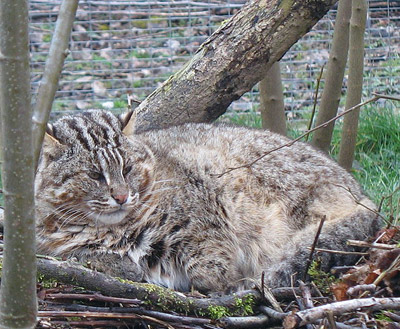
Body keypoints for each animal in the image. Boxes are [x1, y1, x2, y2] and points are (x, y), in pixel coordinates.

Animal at [32, 109, 380, 292]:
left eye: (127, 168)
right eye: (94, 174)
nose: (121, 196)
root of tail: (362, 194)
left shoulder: (204, 213)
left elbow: (210, 259)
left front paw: (216, 286)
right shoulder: (54, 246)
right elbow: (83, 255)